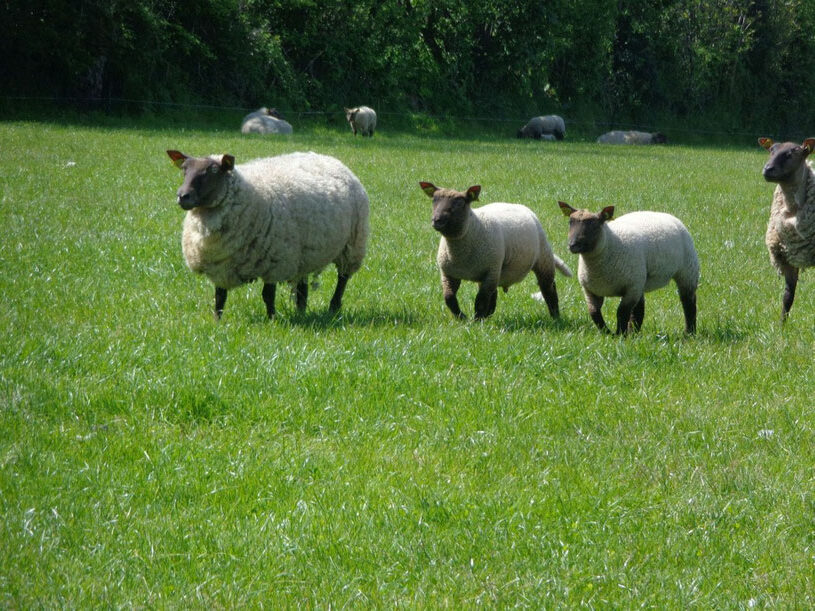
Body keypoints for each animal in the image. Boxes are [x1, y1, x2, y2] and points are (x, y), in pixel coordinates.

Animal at [167, 149, 372, 320]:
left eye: (214, 171)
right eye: (184, 170)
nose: (182, 196)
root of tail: (328, 157)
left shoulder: (274, 262)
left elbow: (267, 295)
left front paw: (272, 320)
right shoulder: (221, 265)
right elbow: (220, 297)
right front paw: (217, 321)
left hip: (352, 244)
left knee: (342, 278)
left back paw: (333, 307)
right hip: (304, 255)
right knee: (302, 288)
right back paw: (301, 311)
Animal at [420, 182, 572, 320]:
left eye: (460, 203)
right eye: (434, 200)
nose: (436, 220)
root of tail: (515, 205)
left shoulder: (490, 271)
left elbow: (480, 301)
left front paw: (476, 322)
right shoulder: (449, 274)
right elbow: (449, 298)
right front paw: (462, 318)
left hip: (542, 258)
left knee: (548, 288)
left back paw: (555, 316)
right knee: (492, 296)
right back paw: (488, 316)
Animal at [560, 201, 700, 334]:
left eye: (594, 225)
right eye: (570, 222)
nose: (573, 245)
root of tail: (664, 214)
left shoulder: (630, 288)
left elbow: (621, 312)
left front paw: (619, 334)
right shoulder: (590, 291)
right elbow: (594, 313)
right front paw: (608, 333)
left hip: (687, 271)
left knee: (689, 302)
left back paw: (689, 333)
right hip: (640, 280)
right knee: (639, 309)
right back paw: (633, 333)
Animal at [760, 137, 815, 322]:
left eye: (791, 154)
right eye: (771, 150)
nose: (767, 169)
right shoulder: (787, 257)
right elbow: (787, 297)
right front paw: (781, 325)